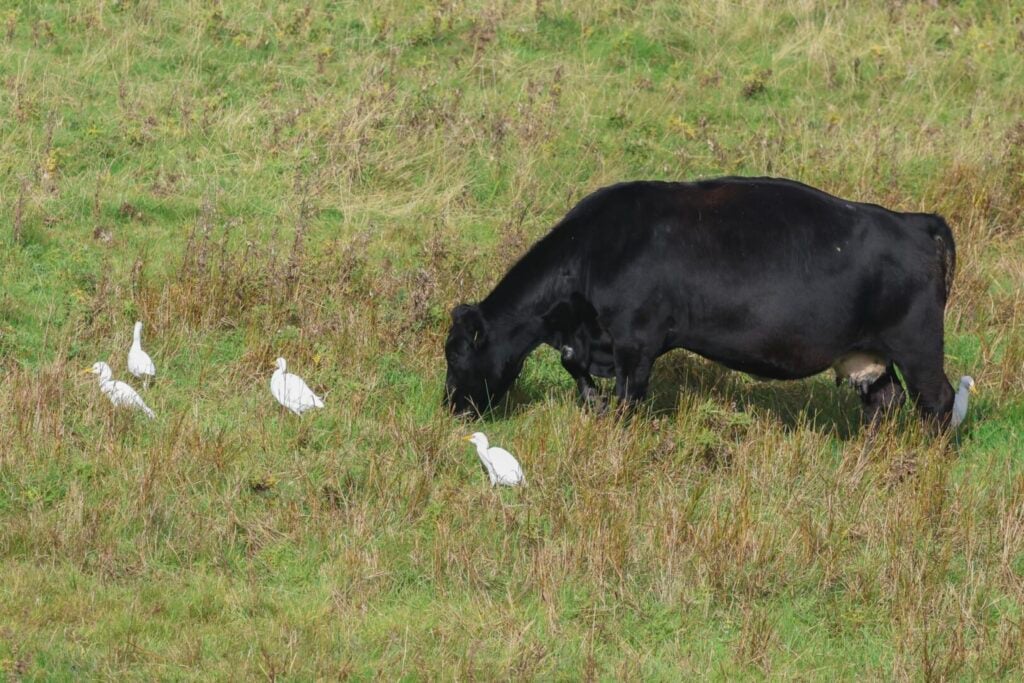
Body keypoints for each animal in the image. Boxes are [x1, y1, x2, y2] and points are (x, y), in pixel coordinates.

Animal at [443, 177, 958, 427]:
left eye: (455, 354)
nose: (450, 407)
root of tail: (914, 222)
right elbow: (574, 365)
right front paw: (592, 401)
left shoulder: (635, 340)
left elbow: (628, 399)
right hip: (868, 355)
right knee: (884, 403)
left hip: (918, 345)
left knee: (939, 402)